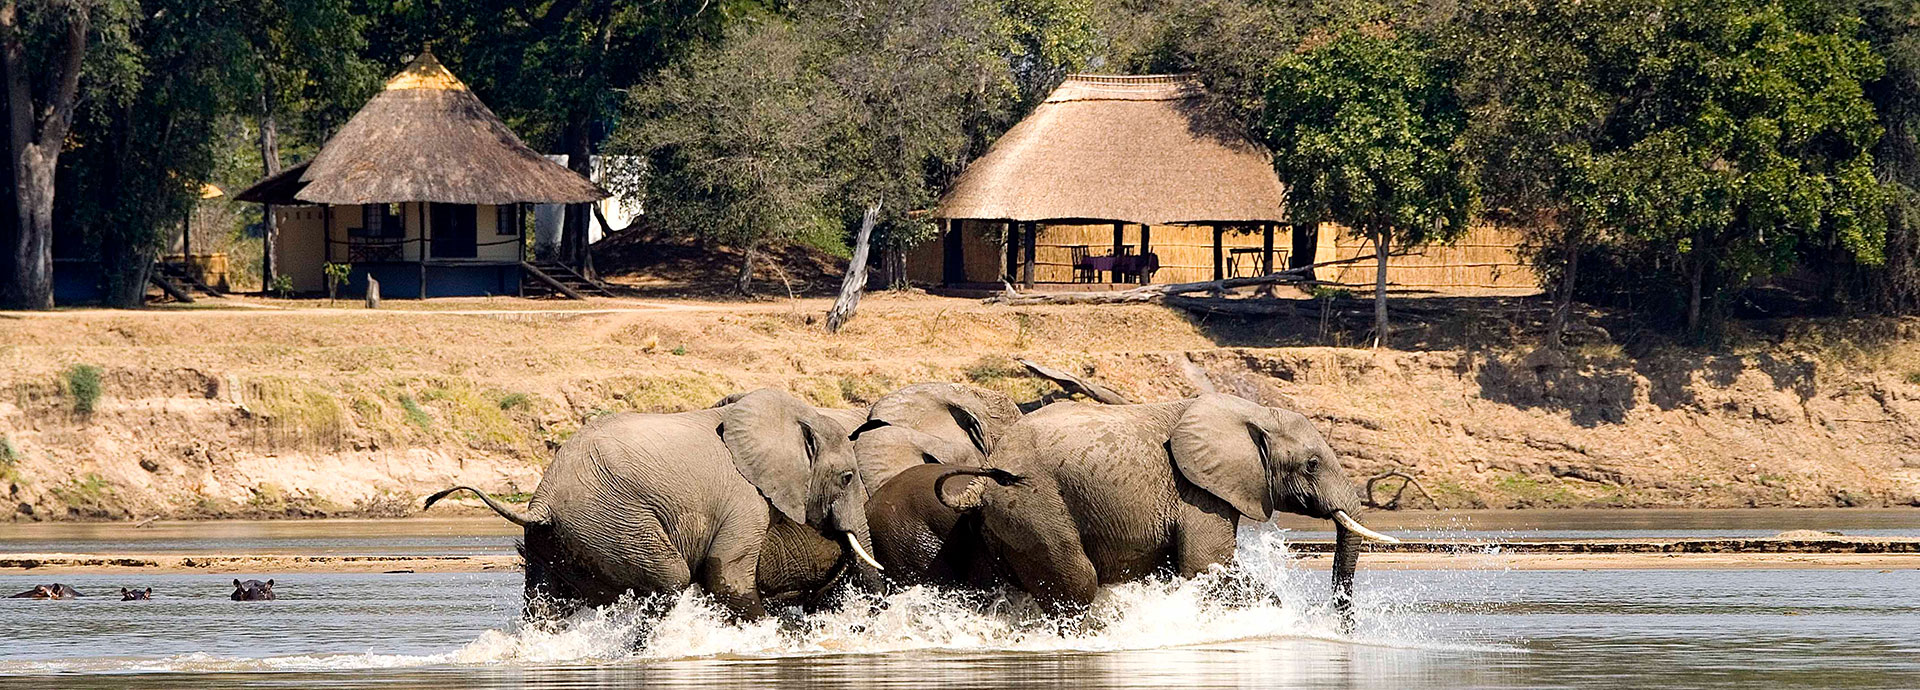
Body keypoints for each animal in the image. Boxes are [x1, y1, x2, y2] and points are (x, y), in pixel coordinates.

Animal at [426, 388, 882, 620]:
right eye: (847, 477)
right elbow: (726, 578)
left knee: (546, 605)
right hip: (614, 525)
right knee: (670, 583)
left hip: (551, 543)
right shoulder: (743, 499)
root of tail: (543, 502)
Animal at [964, 394, 1398, 623]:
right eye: (1312, 464)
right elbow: (1206, 564)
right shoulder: (1195, 491)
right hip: (1033, 505)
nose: (1343, 628)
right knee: (1077, 582)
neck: (1250, 412)